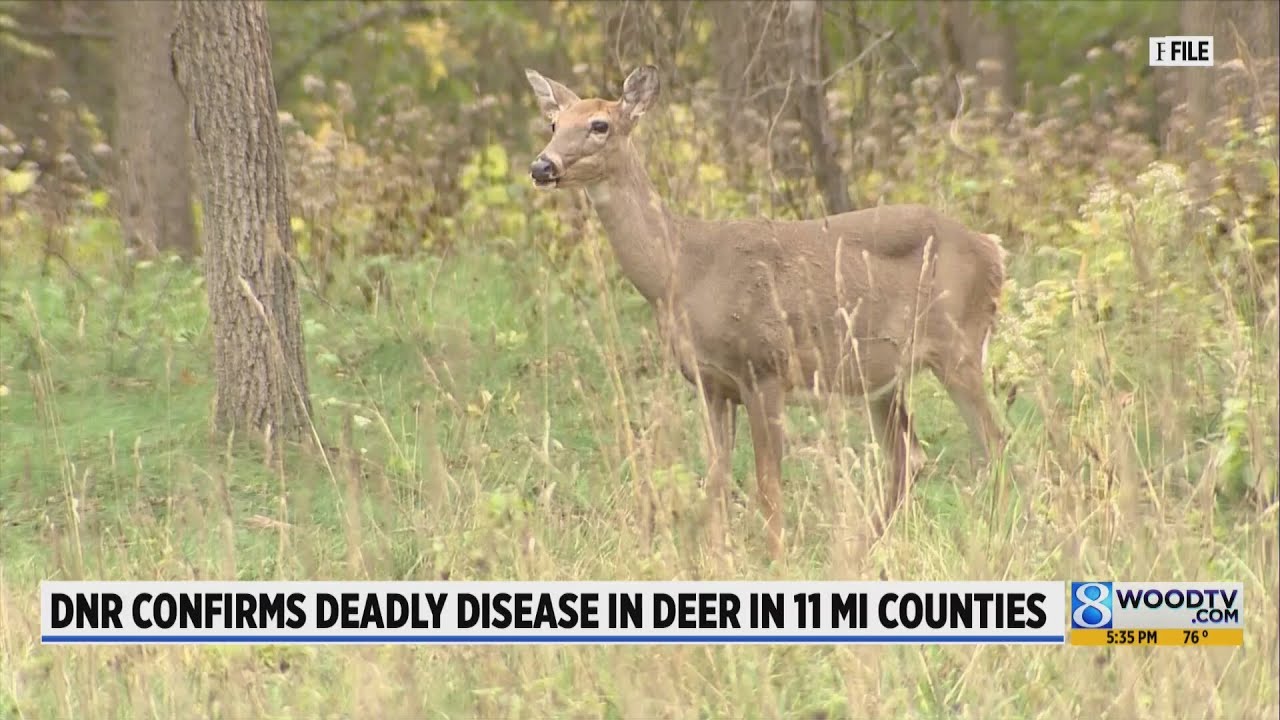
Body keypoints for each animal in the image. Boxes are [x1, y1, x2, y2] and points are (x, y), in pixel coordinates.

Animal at [523, 65, 1007, 562]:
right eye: (554, 123)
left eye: (599, 125)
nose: (542, 166)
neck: (682, 271)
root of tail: (992, 248)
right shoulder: (712, 383)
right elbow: (716, 479)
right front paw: (718, 556)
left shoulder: (765, 367)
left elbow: (767, 482)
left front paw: (775, 558)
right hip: (881, 373)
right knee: (910, 456)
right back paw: (856, 550)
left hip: (958, 345)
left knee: (995, 440)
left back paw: (997, 535)